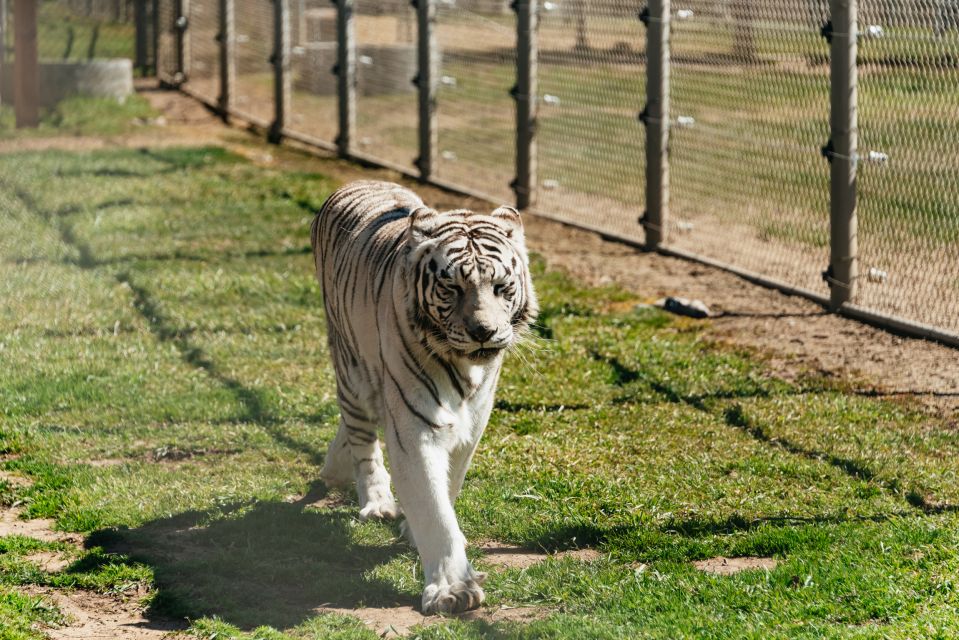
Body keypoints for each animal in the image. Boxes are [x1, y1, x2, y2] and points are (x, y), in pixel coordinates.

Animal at [316, 180, 540, 616]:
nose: (484, 332)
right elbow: (433, 507)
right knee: (361, 436)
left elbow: (449, 485)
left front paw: (414, 532)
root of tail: (359, 182)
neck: (466, 368)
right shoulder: (415, 423)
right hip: (351, 370)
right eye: (452, 288)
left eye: (501, 287)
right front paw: (452, 591)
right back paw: (376, 501)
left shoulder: (475, 420)